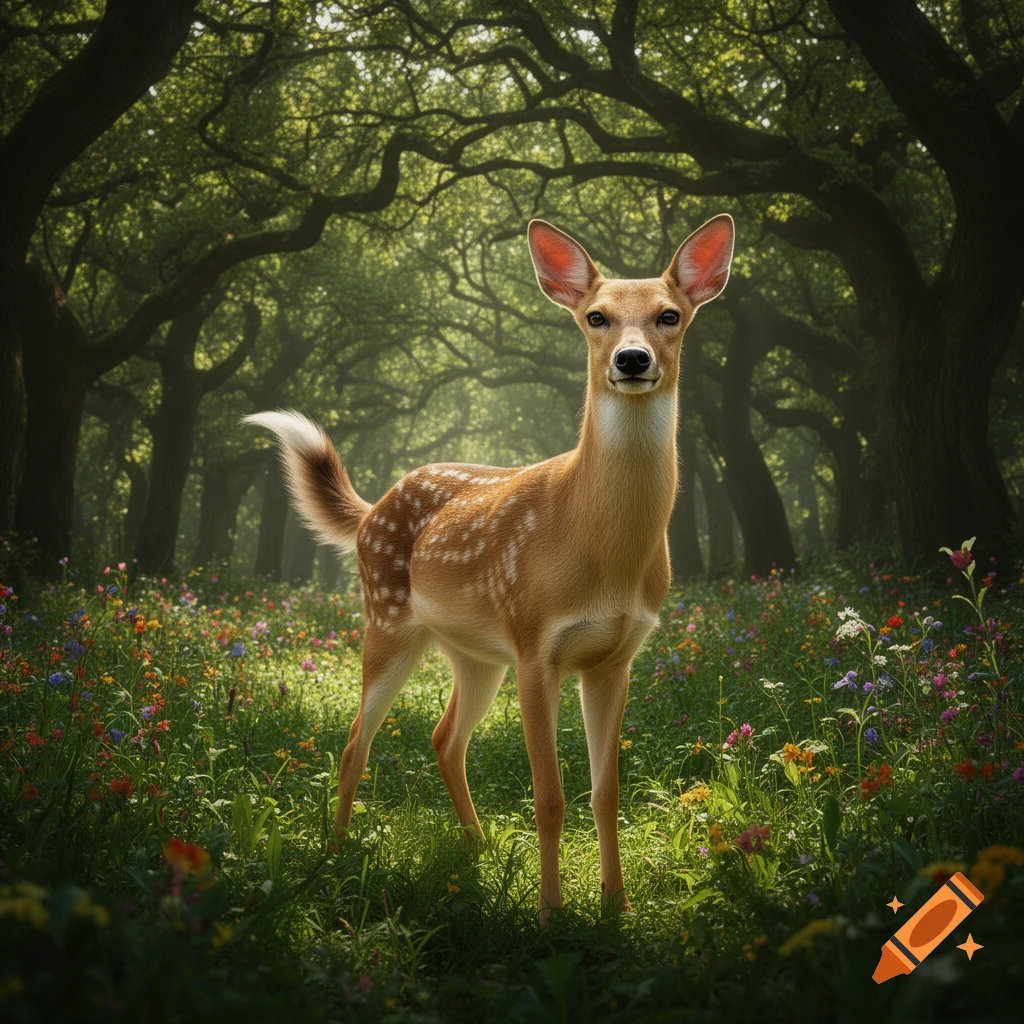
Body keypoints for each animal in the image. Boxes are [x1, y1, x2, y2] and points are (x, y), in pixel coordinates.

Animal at [244, 213, 734, 922]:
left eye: (670, 315)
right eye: (595, 317)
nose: (632, 359)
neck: (601, 550)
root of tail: (369, 512)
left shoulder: (616, 657)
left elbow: (606, 793)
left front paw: (616, 907)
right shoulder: (536, 643)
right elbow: (549, 797)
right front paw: (551, 914)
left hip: (475, 654)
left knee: (445, 737)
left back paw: (476, 846)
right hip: (388, 623)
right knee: (355, 743)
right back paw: (335, 854)